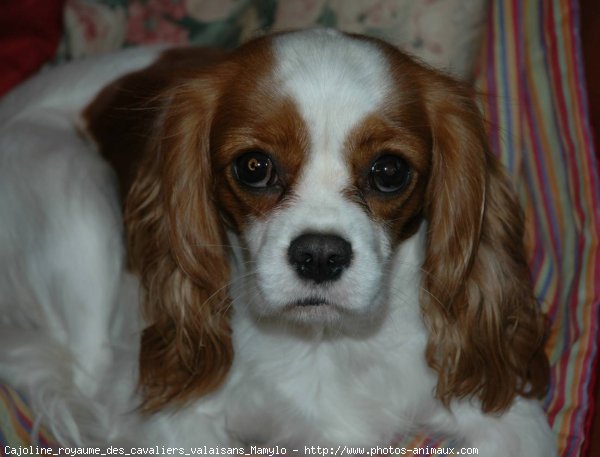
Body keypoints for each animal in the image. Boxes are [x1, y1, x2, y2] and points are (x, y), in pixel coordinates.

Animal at [0, 28, 556, 452]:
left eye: (389, 171)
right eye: (253, 166)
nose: (320, 255)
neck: (325, 342)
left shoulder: (510, 416)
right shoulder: (168, 413)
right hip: (72, 189)